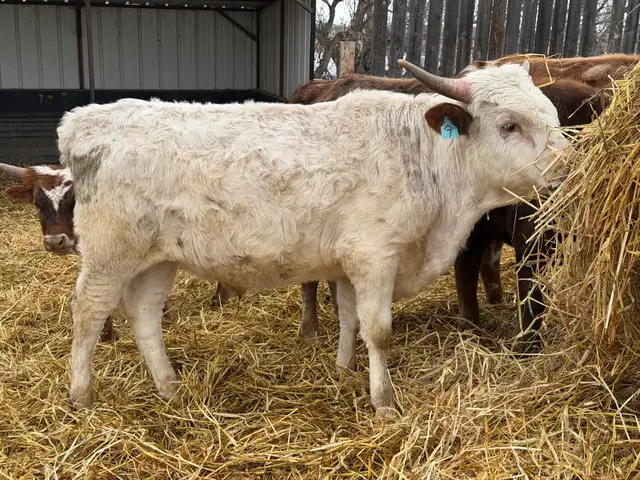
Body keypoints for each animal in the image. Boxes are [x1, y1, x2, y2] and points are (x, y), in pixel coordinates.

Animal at [57, 59, 569, 413]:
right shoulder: (375, 256)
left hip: (157, 258)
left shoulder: (347, 262)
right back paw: (82, 394)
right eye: (509, 125)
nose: (570, 170)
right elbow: (379, 331)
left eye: (554, 116)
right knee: (88, 312)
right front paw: (384, 401)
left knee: (145, 316)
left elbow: (349, 319)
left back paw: (170, 388)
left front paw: (343, 371)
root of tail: (86, 118)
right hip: (109, 253)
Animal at [287, 71, 608, 352]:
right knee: (310, 279)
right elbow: (489, 295)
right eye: (510, 126)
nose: (567, 179)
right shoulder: (513, 241)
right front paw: (506, 342)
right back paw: (311, 329)